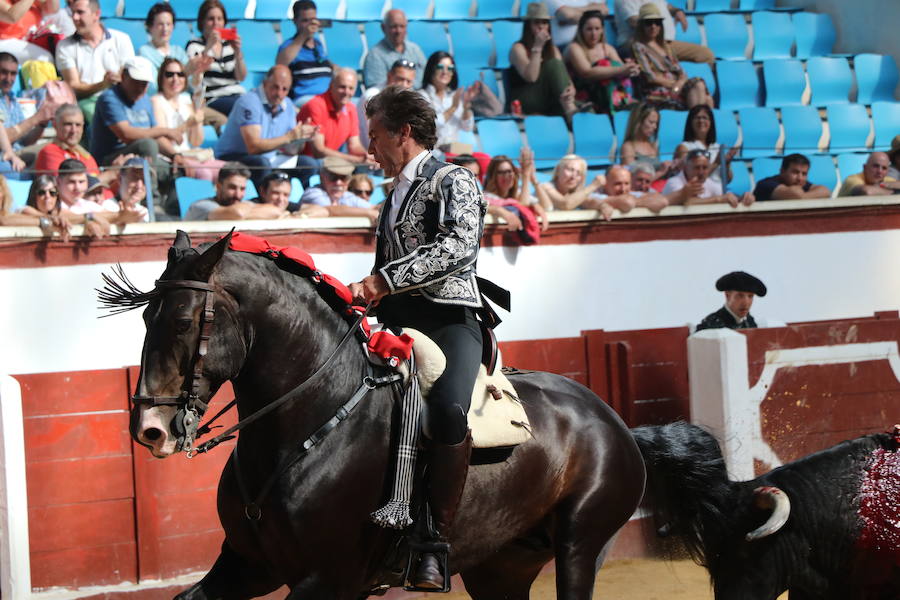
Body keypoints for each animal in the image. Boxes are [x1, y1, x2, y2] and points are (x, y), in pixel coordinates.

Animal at [119, 233, 648, 600]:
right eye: (145, 318)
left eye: (182, 321)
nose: (150, 429)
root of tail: (609, 416)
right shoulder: (247, 563)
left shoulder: (327, 578)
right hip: (501, 565)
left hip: (580, 546)